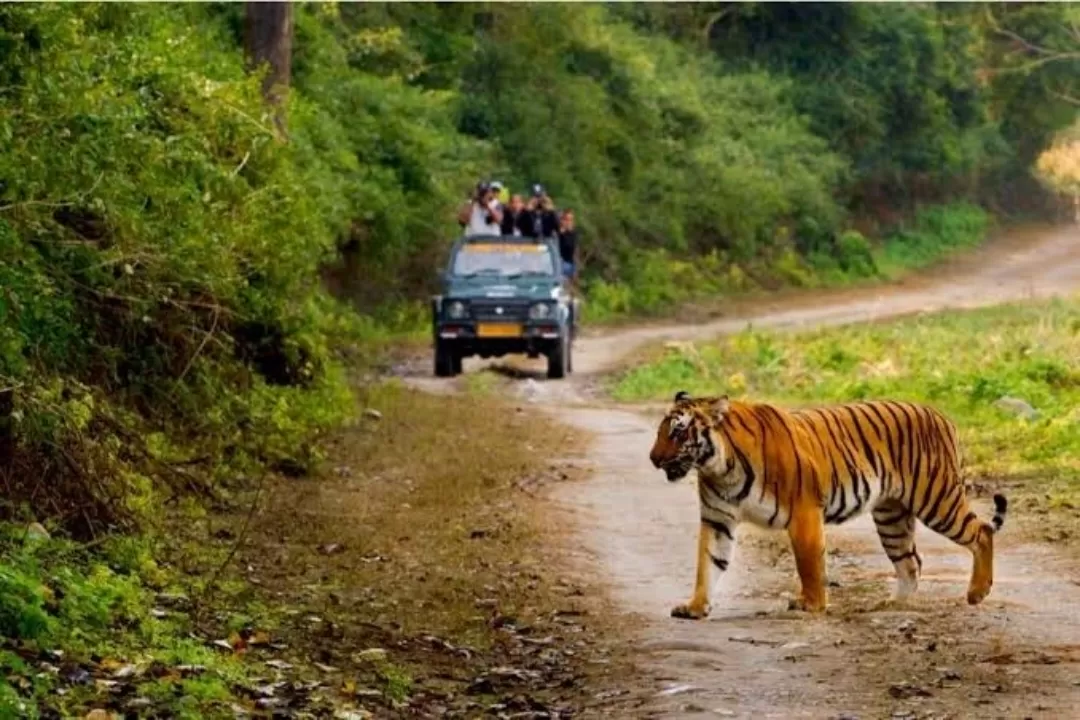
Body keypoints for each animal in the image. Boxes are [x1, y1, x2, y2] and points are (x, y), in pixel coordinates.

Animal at [648, 390, 1010, 621]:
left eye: (678, 432)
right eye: (661, 432)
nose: (653, 459)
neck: (720, 467)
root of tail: (940, 415)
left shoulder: (804, 511)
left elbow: (808, 563)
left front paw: (811, 603)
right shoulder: (717, 520)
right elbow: (708, 564)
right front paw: (695, 607)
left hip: (936, 499)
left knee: (981, 531)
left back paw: (977, 592)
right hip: (891, 516)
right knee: (911, 562)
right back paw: (893, 605)